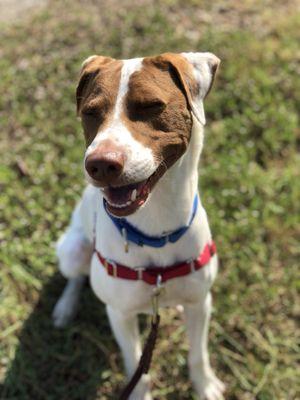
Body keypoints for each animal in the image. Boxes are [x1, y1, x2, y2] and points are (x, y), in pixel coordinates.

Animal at [52, 53, 225, 400]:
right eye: (90, 112)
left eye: (150, 106)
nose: (100, 164)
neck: (156, 228)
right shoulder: (120, 315)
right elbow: (136, 366)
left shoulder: (201, 302)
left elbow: (198, 354)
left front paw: (204, 385)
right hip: (73, 249)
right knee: (76, 277)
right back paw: (65, 306)